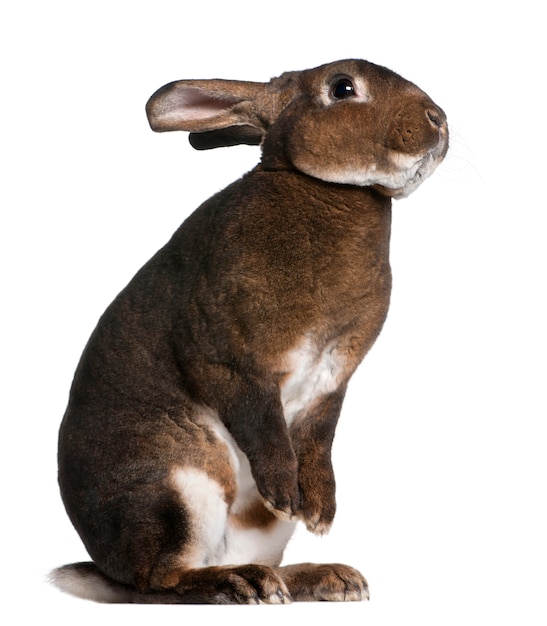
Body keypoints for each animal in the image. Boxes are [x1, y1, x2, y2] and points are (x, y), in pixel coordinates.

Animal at [50, 57, 450, 600]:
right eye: (343, 88)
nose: (438, 120)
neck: (328, 193)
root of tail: (103, 566)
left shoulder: (330, 383)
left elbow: (318, 439)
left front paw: (318, 511)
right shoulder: (232, 362)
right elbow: (263, 424)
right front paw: (286, 492)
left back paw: (323, 577)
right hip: (175, 492)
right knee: (159, 580)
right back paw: (240, 584)